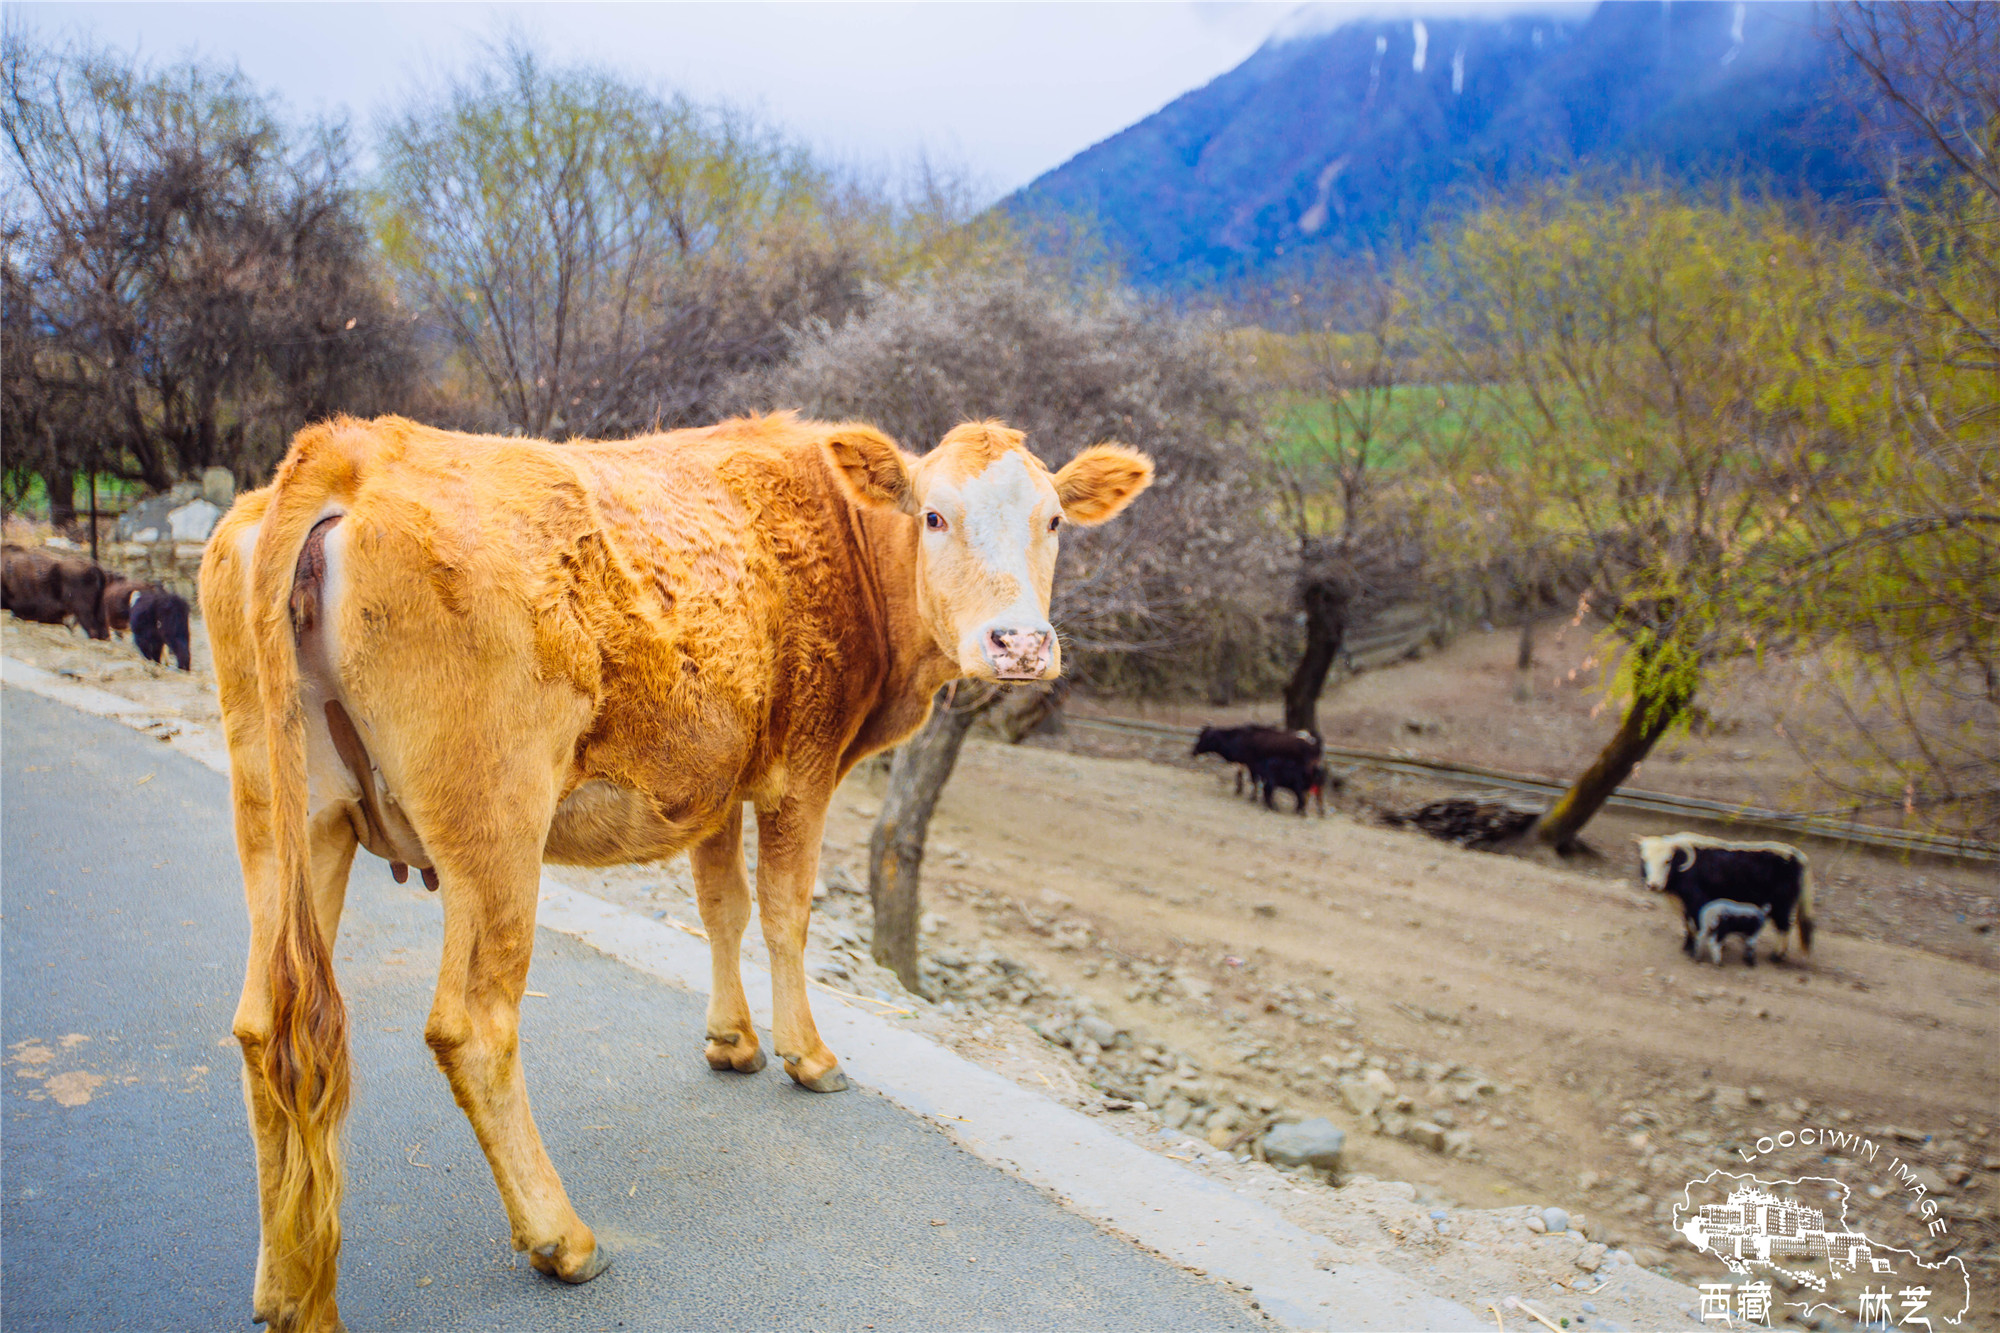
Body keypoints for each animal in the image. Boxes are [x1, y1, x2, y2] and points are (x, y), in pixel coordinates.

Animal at [199, 410, 1160, 1320]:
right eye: (934, 515)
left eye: (1054, 519)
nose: (1019, 643)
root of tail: (352, 450)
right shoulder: (801, 771)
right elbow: (785, 913)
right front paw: (807, 1054)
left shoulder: (716, 781)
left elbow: (720, 906)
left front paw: (732, 1040)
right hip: (494, 820)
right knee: (473, 1026)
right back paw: (562, 1238)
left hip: (289, 819)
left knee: (262, 1027)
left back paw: (284, 1286)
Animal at [1632, 832, 1824, 956]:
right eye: (1645, 859)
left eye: (1667, 860)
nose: (1653, 885)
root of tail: (1797, 856)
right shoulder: (1685, 905)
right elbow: (1688, 924)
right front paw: (1687, 946)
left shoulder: (1697, 902)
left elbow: (1695, 925)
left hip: (1781, 905)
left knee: (1784, 927)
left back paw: (1777, 956)